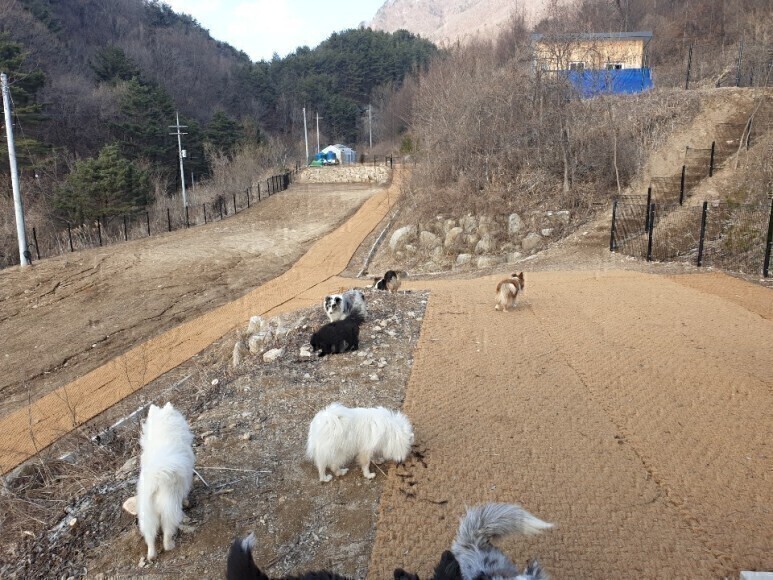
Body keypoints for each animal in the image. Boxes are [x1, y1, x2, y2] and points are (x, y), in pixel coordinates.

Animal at [136, 402, 195, 560]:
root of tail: (155, 482)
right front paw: (186, 502)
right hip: (169, 508)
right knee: (167, 530)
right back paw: (169, 545)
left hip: (147, 515)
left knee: (150, 536)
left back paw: (152, 554)